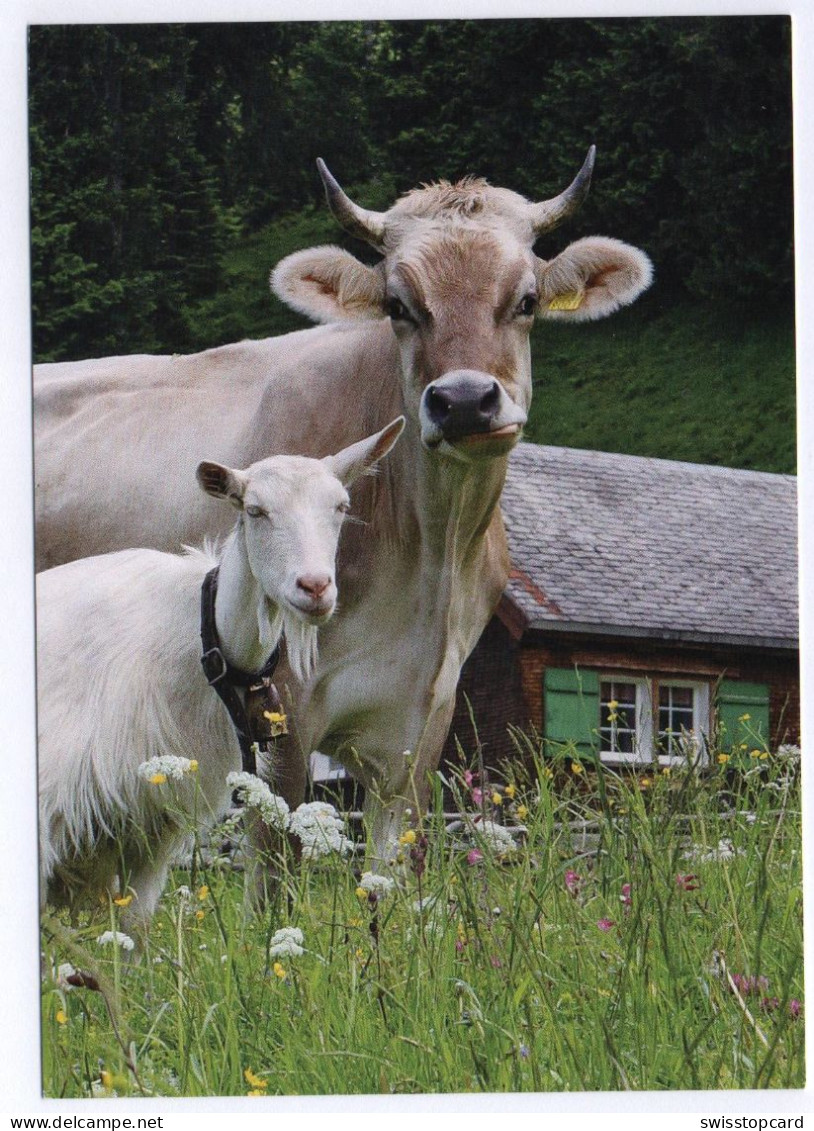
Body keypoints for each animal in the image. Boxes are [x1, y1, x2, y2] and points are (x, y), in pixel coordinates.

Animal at [35, 150, 651, 855]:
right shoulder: (278, 706)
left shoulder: (424, 718)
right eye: (397, 305)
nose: (464, 401)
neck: (429, 558)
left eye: (525, 301)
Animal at [37, 420, 404, 931]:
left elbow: (135, 930)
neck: (195, 637)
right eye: (255, 510)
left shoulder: (152, 827)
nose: (314, 587)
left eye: (341, 506)